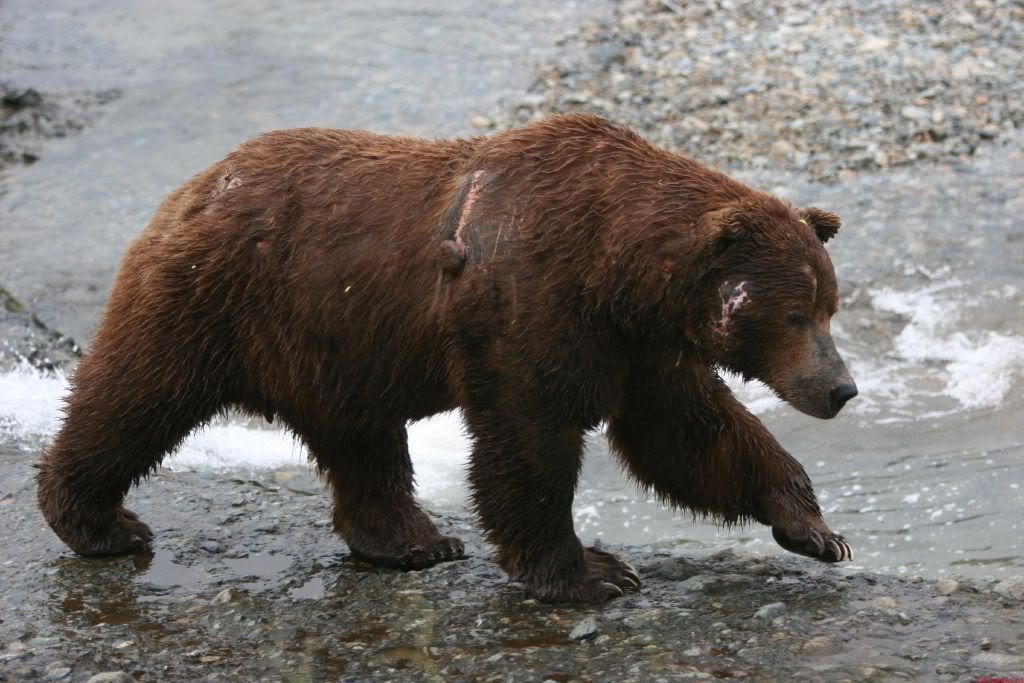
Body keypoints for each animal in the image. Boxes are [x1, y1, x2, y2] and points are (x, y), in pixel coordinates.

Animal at [36, 113, 856, 602]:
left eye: (829, 305)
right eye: (794, 312)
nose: (842, 388)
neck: (618, 273)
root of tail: (193, 187)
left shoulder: (640, 345)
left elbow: (691, 434)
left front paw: (814, 528)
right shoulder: (534, 303)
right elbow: (529, 439)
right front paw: (590, 569)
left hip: (331, 344)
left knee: (362, 446)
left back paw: (414, 541)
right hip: (218, 299)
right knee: (136, 397)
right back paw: (100, 522)